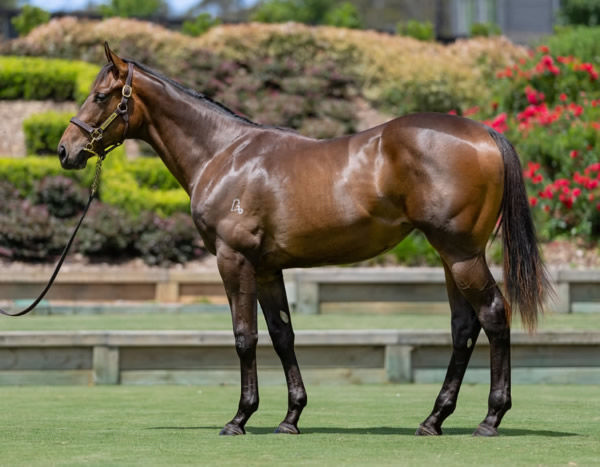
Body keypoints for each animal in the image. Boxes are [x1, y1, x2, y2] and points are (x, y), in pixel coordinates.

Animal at [58, 44, 552, 438]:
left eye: (100, 96)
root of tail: (485, 134)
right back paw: (434, 419)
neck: (225, 153)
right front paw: (290, 417)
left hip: (461, 253)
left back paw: (490, 419)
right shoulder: (266, 267)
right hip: (452, 256)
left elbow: (245, 337)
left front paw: (239, 419)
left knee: (493, 314)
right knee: (464, 327)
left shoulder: (233, 260)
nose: (66, 150)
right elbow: (282, 335)